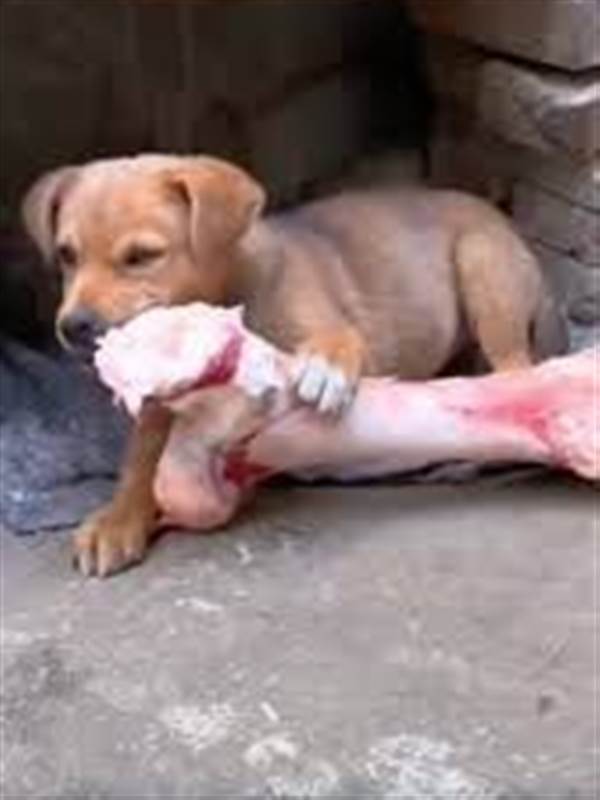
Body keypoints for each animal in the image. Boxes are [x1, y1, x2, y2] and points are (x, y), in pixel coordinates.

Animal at [22, 154, 565, 576]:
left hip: (484, 269)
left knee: (512, 374)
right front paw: (118, 520)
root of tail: (503, 221)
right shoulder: (160, 400)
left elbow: (336, 341)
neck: (229, 294)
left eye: (141, 256)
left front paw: (324, 371)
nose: (73, 326)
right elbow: (140, 458)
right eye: (67, 255)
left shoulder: (342, 332)